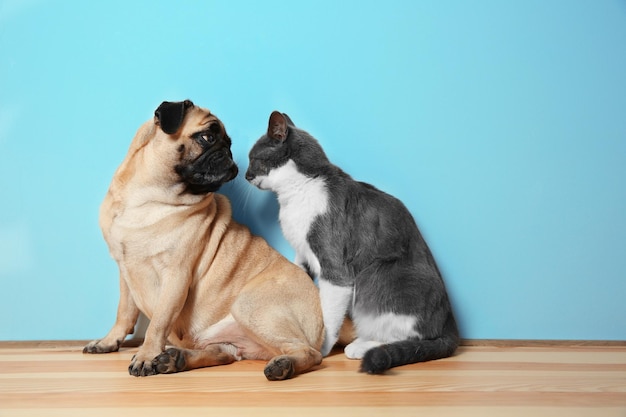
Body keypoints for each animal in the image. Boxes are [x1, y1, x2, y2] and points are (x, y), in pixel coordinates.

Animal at [84, 101, 322, 380]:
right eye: (207, 137)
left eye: (228, 143)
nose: (229, 155)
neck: (150, 196)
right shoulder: (125, 271)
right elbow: (124, 313)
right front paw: (109, 341)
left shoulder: (176, 276)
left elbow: (158, 323)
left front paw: (146, 355)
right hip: (227, 336)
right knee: (222, 354)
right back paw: (175, 359)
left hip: (249, 306)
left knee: (310, 353)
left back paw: (283, 365)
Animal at [245, 111, 458, 374]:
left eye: (254, 158)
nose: (246, 175)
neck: (298, 191)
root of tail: (450, 325)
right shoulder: (302, 253)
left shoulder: (335, 268)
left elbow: (328, 315)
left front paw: (321, 348)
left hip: (378, 274)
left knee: (412, 334)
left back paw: (362, 347)